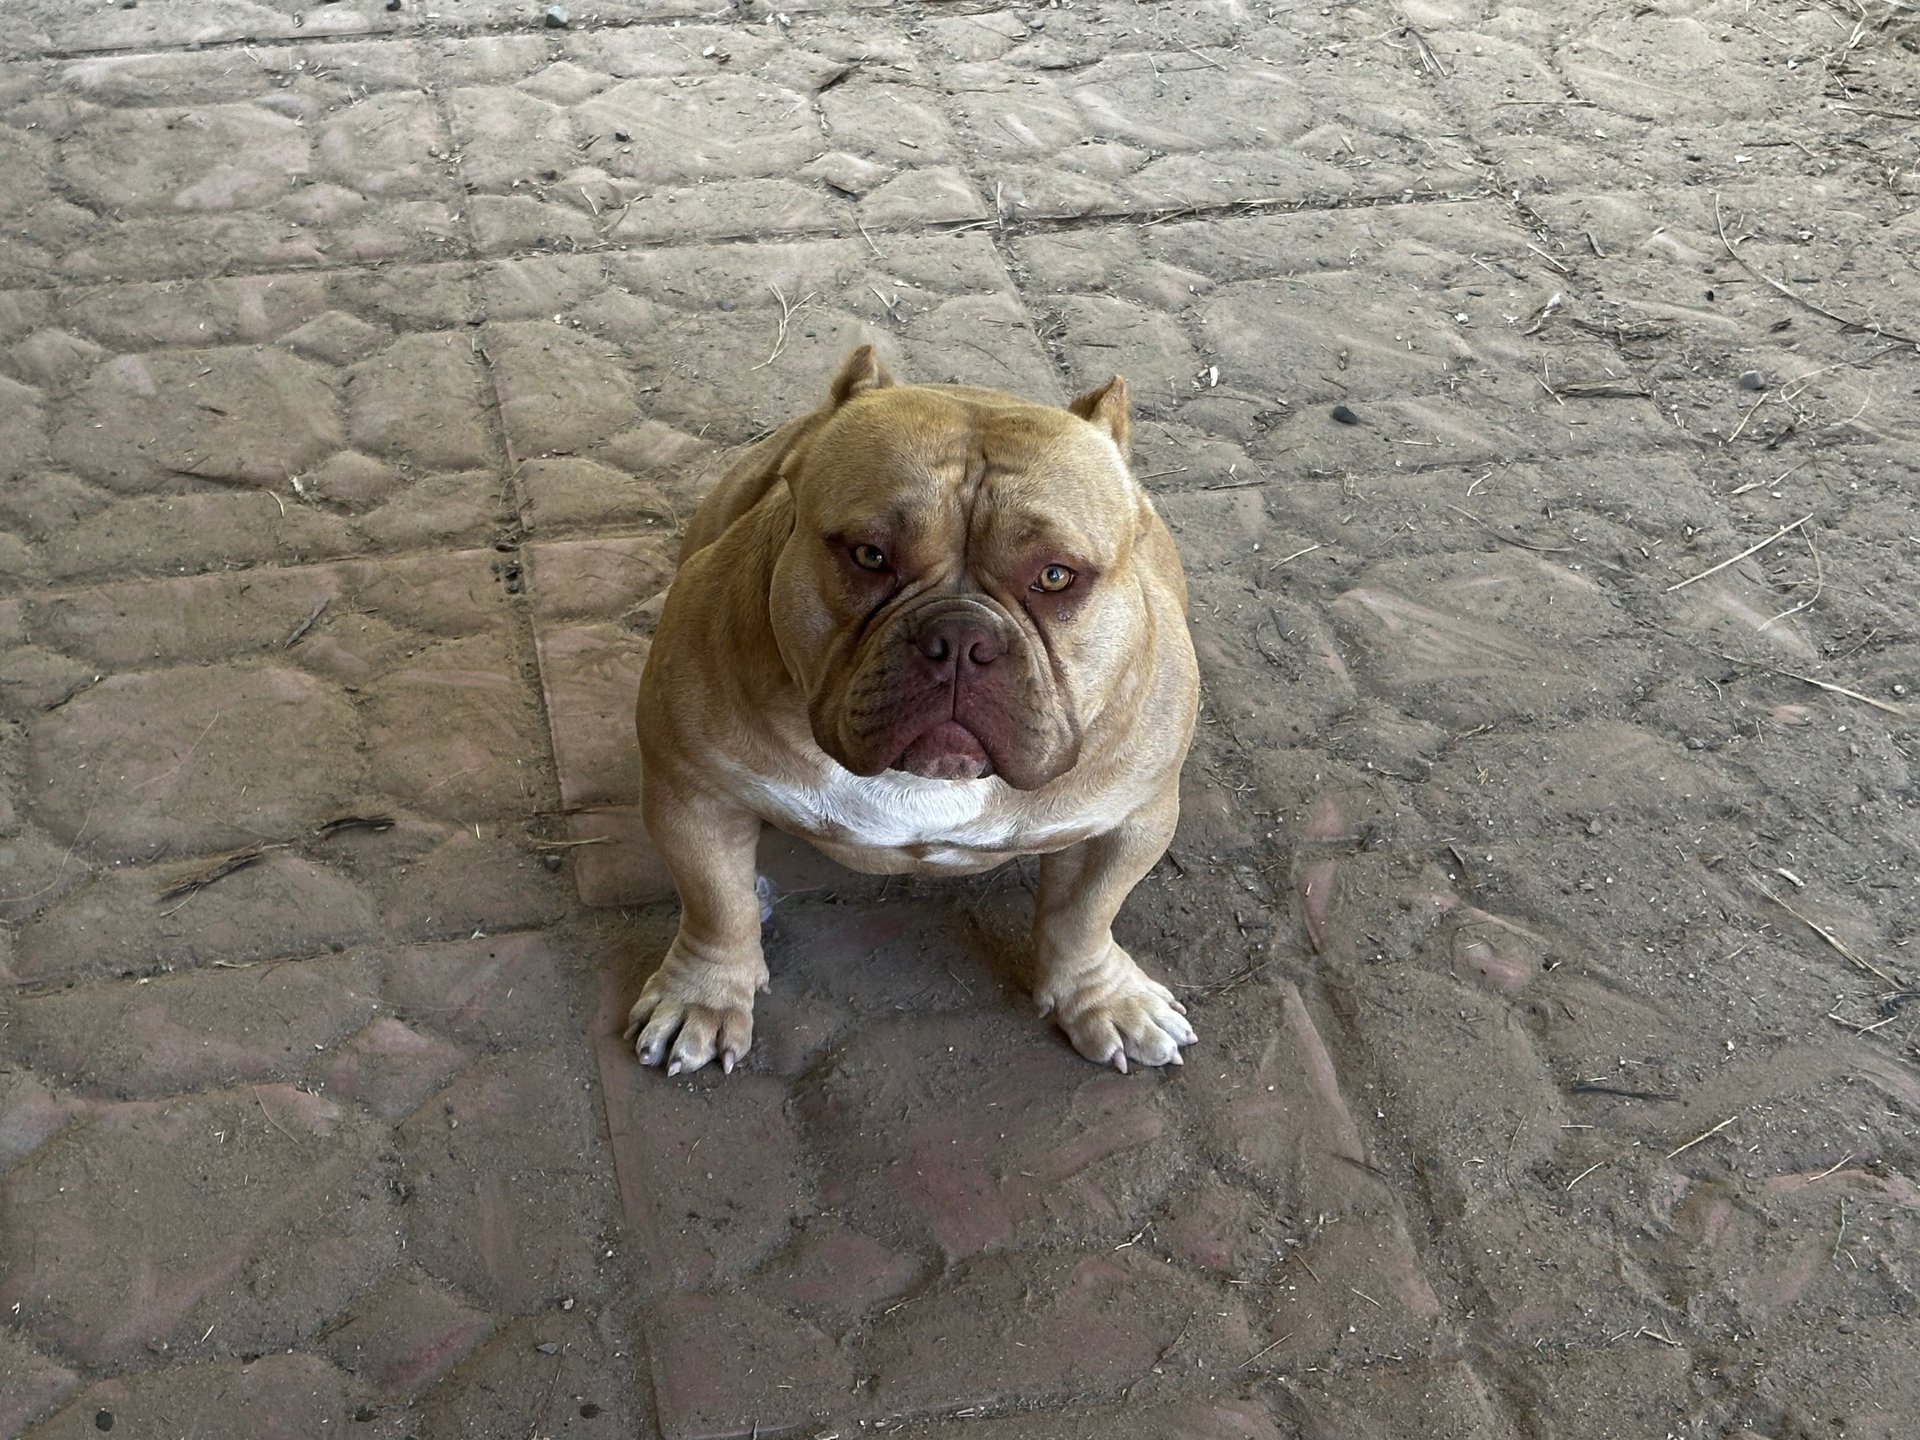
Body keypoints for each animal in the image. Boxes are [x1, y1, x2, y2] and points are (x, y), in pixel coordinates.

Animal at [629, 343, 1190, 1075]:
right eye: (870, 556)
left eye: (1055, 576)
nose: (961, 638)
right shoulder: (692, 793)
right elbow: (714, 904)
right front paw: (703, 993)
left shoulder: (1130, 820)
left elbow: (1085, 916)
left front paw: (1104, 998)